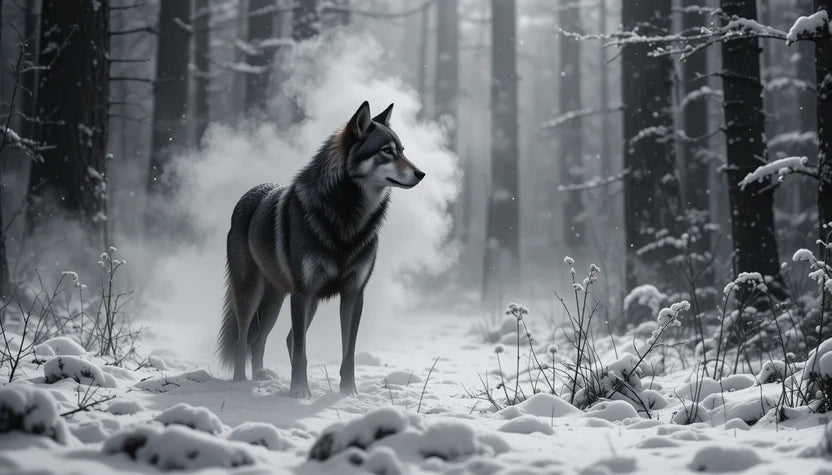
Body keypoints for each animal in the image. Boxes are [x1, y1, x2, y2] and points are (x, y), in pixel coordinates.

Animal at [217, 101, 425, 397]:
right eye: (387, 151)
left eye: (403, 150)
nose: (421, 173)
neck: (348, 220)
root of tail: (250, 193)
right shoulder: (302, 293)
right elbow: (302, 352)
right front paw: (299, 391)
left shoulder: (353, 293)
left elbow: (348, 353)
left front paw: (349, 392)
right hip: (252, 294)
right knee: (246, 339)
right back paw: (240, 382)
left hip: (282, 301)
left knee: (267, 339)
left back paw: (260, 378)